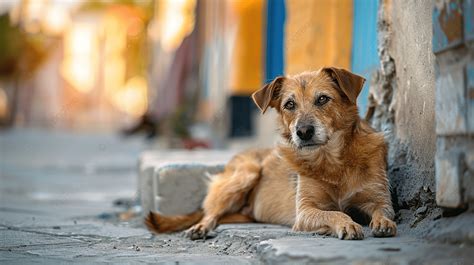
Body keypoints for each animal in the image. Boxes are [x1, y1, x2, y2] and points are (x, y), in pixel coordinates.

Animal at [144, 66, 396, 239]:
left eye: (323, 99)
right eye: (289, 105)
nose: (303, 132)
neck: (332, 161)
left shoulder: (379, 197)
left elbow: (383, 210)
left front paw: (383, 223)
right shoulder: (305, 212)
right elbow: (334, 213)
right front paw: (347, 223)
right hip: (246, 173)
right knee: (210, 213)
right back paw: (200, 227)